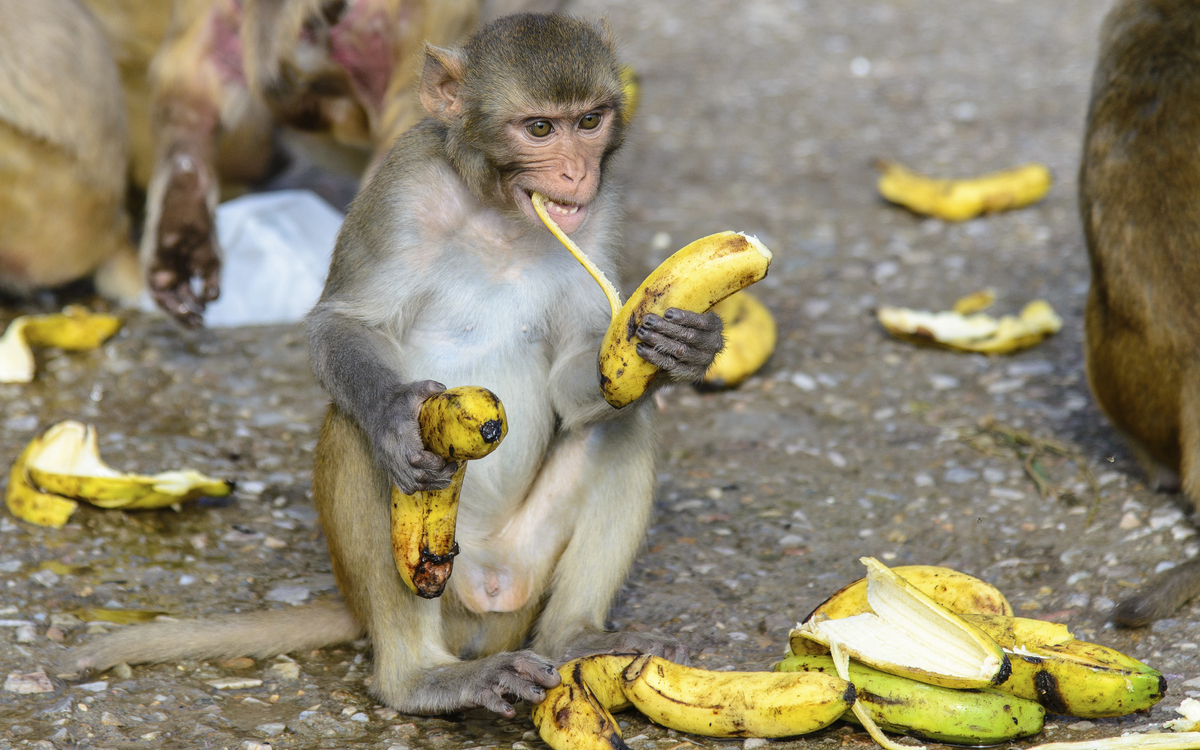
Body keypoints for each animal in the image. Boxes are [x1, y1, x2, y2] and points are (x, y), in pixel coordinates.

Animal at [66, 13, 721, 717]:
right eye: (540, 129)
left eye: (591, 120)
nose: (575, 175)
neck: (498, 214)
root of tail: (490, 586)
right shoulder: (401, 191)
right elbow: (343, 325)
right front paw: (394, 416)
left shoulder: (599, 221)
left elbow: (582, 384)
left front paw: (681, 349)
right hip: (443, 581)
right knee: (355, 437)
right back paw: (421, 678)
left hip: (525, 567)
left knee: (624, 421)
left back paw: (574, 635)